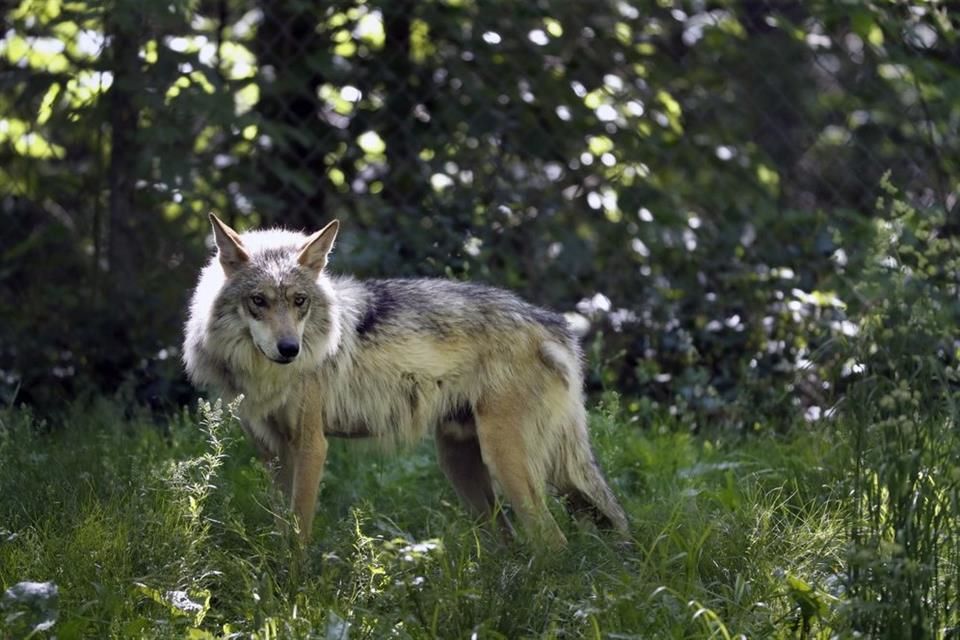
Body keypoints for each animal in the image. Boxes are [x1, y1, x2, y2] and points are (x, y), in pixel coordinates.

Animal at [183, 214, 632, 544]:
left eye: (300, 301)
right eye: (258, 301)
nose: (289, 349)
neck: (265, 377)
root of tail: (553, 324)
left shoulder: (311, 446)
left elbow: (299, 536)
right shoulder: (273, 453)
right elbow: (281, 532)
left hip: (508, 463)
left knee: (552, 543)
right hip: (463, 468)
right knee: (511, 543)